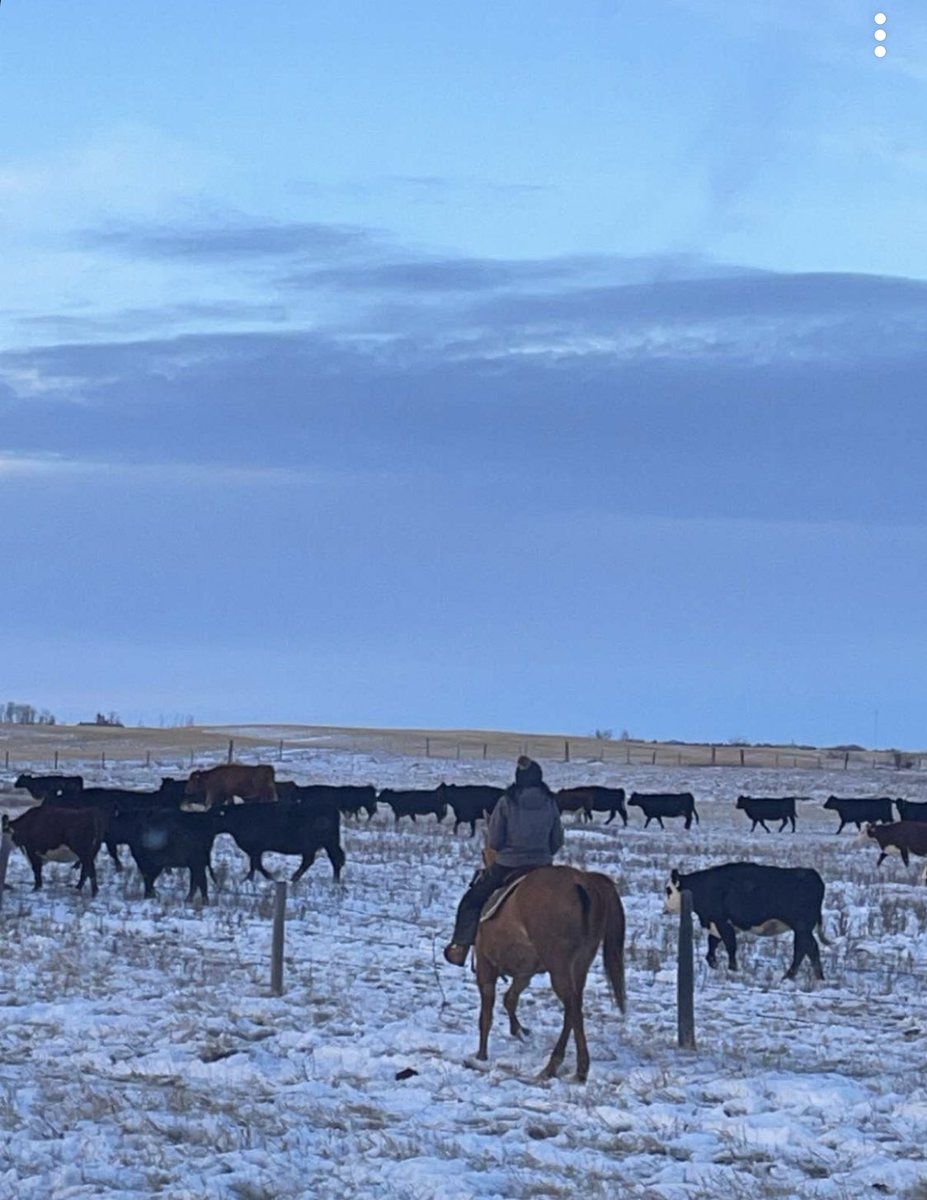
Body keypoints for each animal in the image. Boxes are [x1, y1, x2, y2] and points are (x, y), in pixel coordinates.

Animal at [213, 799, 345, 882]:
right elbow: (254, 865)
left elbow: (256, 864)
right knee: (316, 861)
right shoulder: (255, 850)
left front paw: (268, 878)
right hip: (321, 846)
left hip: (324, 844)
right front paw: (249, 879)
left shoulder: (256, 849)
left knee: (331, 859)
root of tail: (331, 808)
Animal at [664, 862, 827, 980]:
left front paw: (733, 969)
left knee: (804, 948)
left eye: (668, 890)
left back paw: (793, 976)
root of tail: (813, 874)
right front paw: (714, 964)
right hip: (803, 929)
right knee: (808, 948)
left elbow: (730, 945)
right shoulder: (715, 924)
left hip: (801, 927)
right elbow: (712, 944)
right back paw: (812, 977)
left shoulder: (722, 922)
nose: (665, 910)